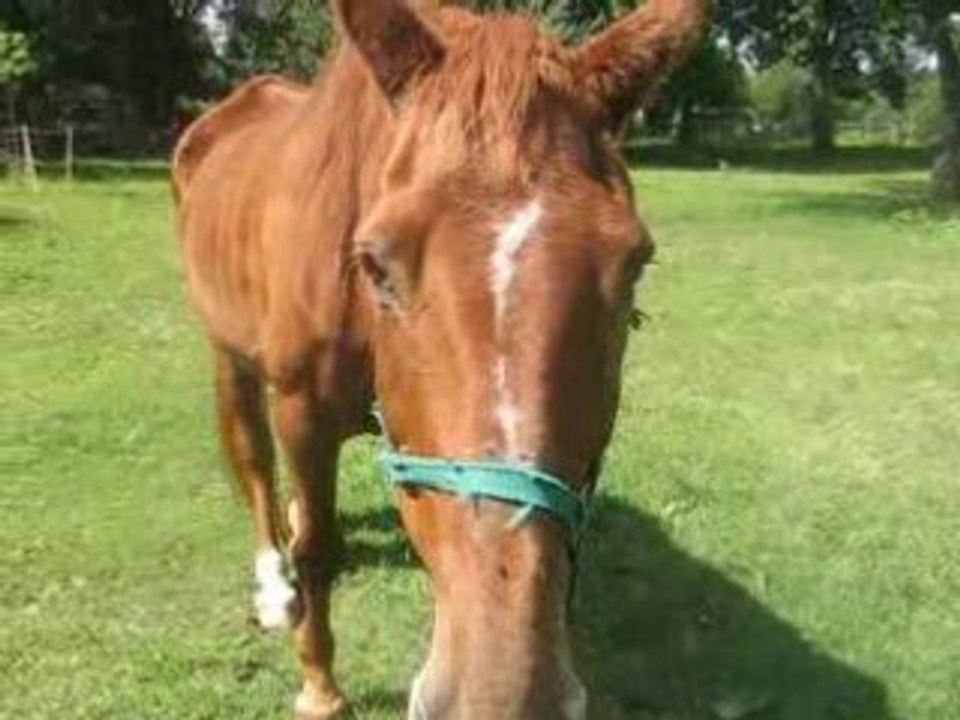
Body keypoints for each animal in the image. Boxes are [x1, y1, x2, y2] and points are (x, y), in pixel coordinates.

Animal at [172, 1, 708, 717]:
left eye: (635, 266)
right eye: (375, 262)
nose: (504, 696)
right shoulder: (302, 413)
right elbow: (317, 549)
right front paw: (320, 686)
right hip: (230, 355)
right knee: (252, 459)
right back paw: (275, 589)